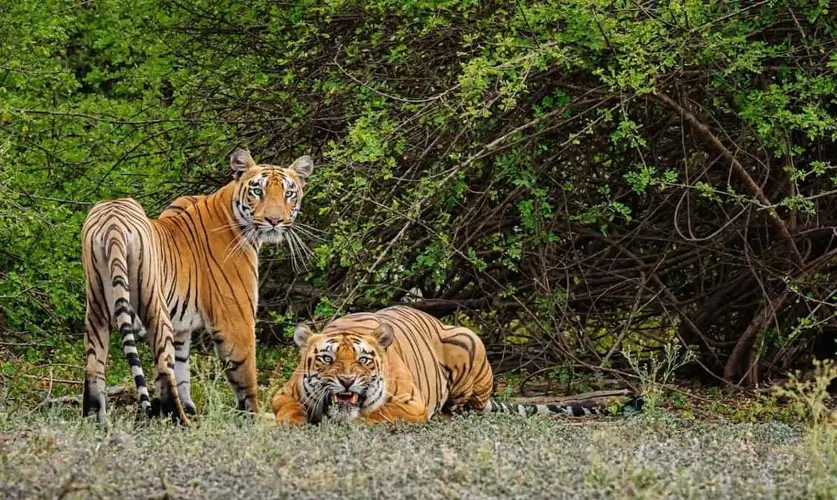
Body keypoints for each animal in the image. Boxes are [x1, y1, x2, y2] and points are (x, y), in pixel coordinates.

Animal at [81, 148, 314, 426]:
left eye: (289, 193)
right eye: (258, 190)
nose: (274, 220)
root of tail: (112, 220)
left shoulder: (182, 328)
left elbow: (183, 369)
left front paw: (191, 406)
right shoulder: (235, 319)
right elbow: (245, 374)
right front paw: (255, 417)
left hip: (96, 309)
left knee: (94, 369)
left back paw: (96, 421)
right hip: (154, 307)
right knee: (163, 370)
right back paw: (182, 422)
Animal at [271, 305, 640, 425]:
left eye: (363, 360)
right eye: (327, 358)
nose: (347, 381)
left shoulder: (412, 405)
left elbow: (375, 414)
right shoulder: (282, 394)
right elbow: (289, 411)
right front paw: (289, 424)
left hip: (468, 340)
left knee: (469, 406)